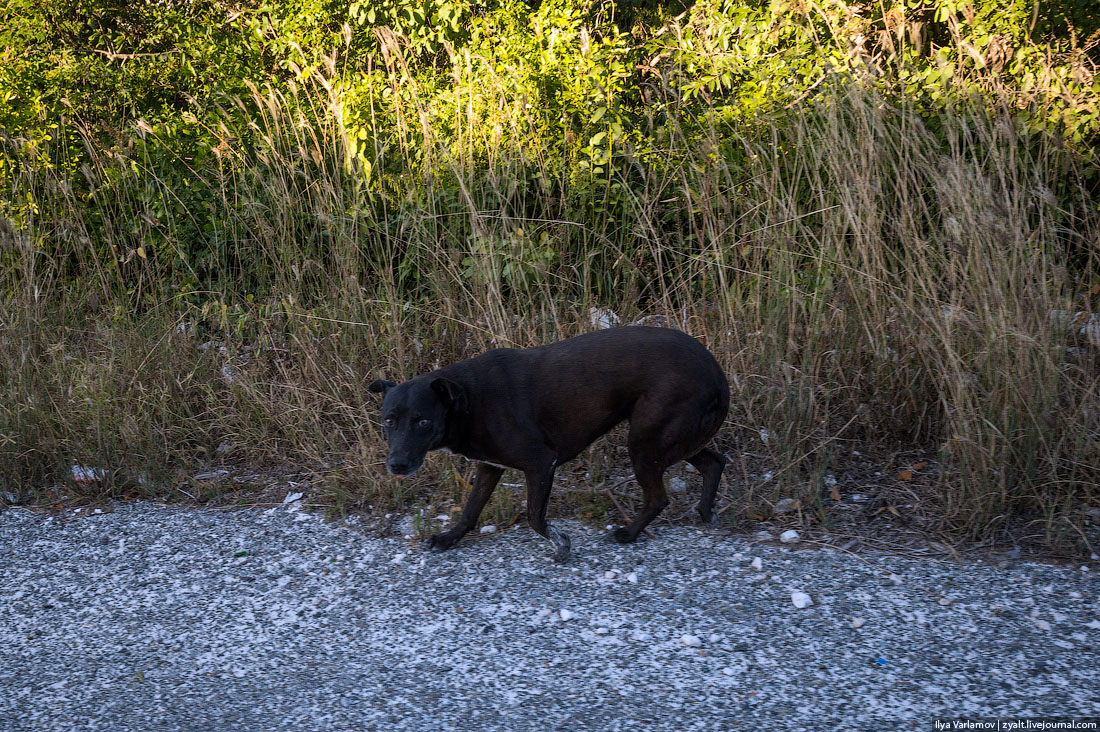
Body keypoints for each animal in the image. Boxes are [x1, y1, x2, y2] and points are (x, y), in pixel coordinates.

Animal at [369, 325, 730, 559]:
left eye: (423, 421)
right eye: (389, 421)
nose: (396, 465)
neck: (467, 400)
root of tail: (714, 368)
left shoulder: (541, 463)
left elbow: (533, 516)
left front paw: (561, 545)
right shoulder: (489, 466)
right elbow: (471, 510)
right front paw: (449, 538)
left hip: (645, 441)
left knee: (658, 497)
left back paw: (629, 533)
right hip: (672, 439)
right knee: (714, 462)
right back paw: (705, 511)